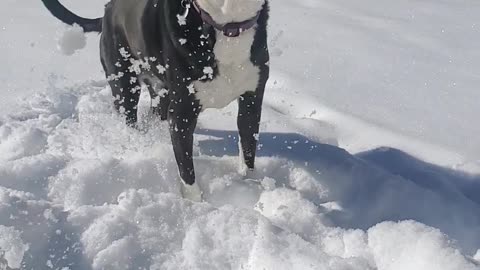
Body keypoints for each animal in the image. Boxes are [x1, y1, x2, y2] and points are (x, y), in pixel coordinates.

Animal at [41, 0, 270, 200]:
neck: (227, 25)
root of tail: (106, 12)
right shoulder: (182, 113)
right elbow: (186, 170)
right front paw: (195, 204)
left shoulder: (252, 101)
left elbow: (248, 148)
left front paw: (249, 187)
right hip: (124, 83)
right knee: (129, 118)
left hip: (161, 93)